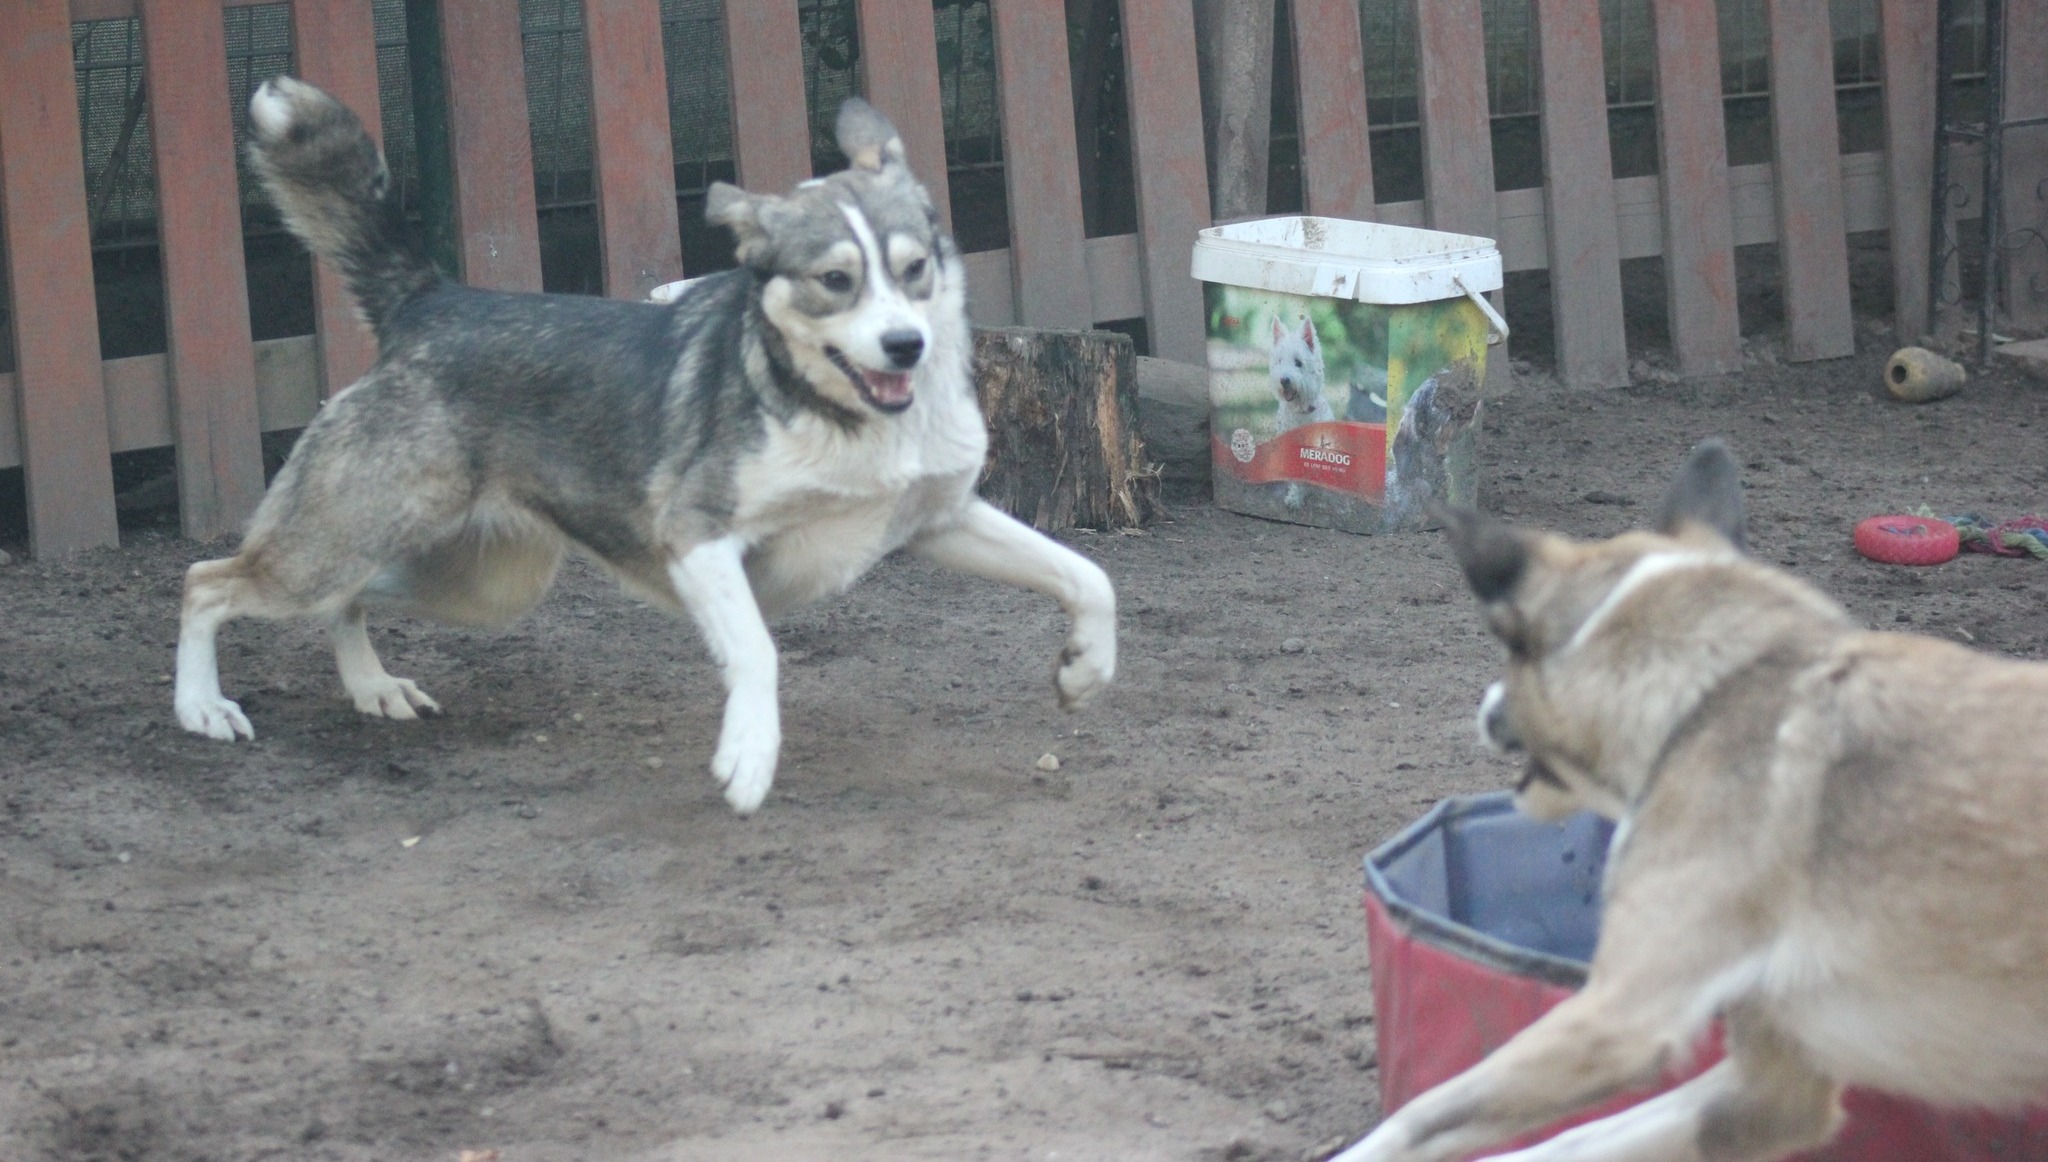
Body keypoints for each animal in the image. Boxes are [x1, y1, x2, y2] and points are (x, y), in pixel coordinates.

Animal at [173, 78, 1116, 814]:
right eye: (834, 281)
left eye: (914, 269)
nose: (904, 346)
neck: (837, 414)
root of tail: (432, 299)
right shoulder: (698, 536)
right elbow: (758, 652)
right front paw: (749, 756)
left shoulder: (939, 520)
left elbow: (1089, 578)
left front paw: (1083, 672)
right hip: (356, 537)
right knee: (208, 582)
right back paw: (201, 708)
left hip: (478, 580)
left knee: (343, 600)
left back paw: (372, 687)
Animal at [1333, 440, 2048, 1162]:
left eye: (1510, 646)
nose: (1485, 705)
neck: (1710, 692)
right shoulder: (1766, 1095)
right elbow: (1566, 1144)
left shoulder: (1616, 1019)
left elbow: (1416, 1117)